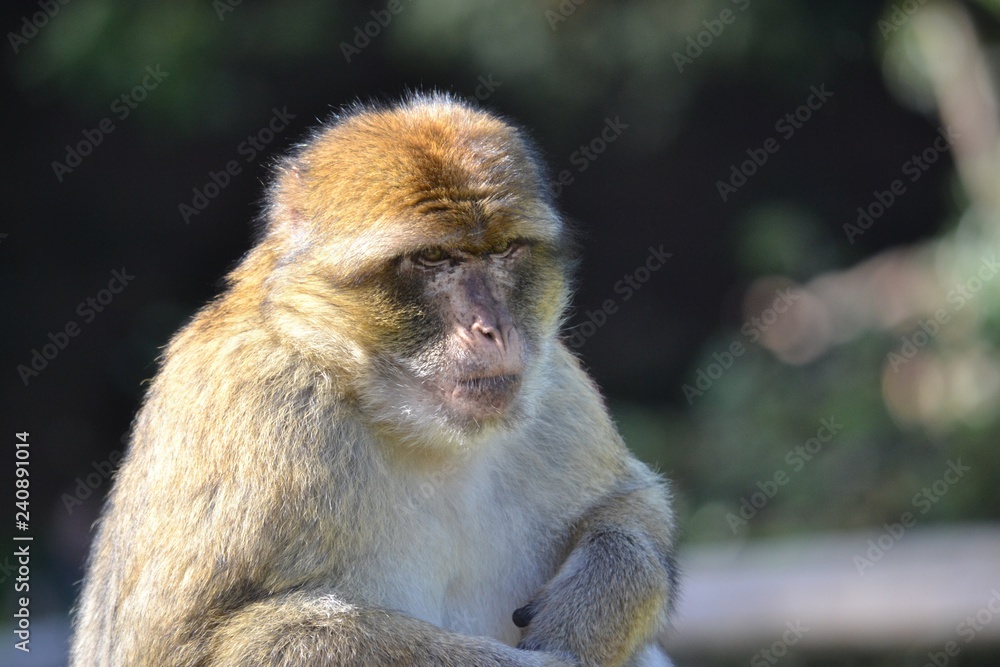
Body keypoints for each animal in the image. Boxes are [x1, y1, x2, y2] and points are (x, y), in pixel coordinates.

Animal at [70, 92, 678, 667]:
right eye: (433, 257)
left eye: (505, 250)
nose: (495, 329)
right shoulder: (260, 408)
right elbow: (192, 644)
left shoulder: (557, 389)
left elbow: (631, 503)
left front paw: (593, 606)